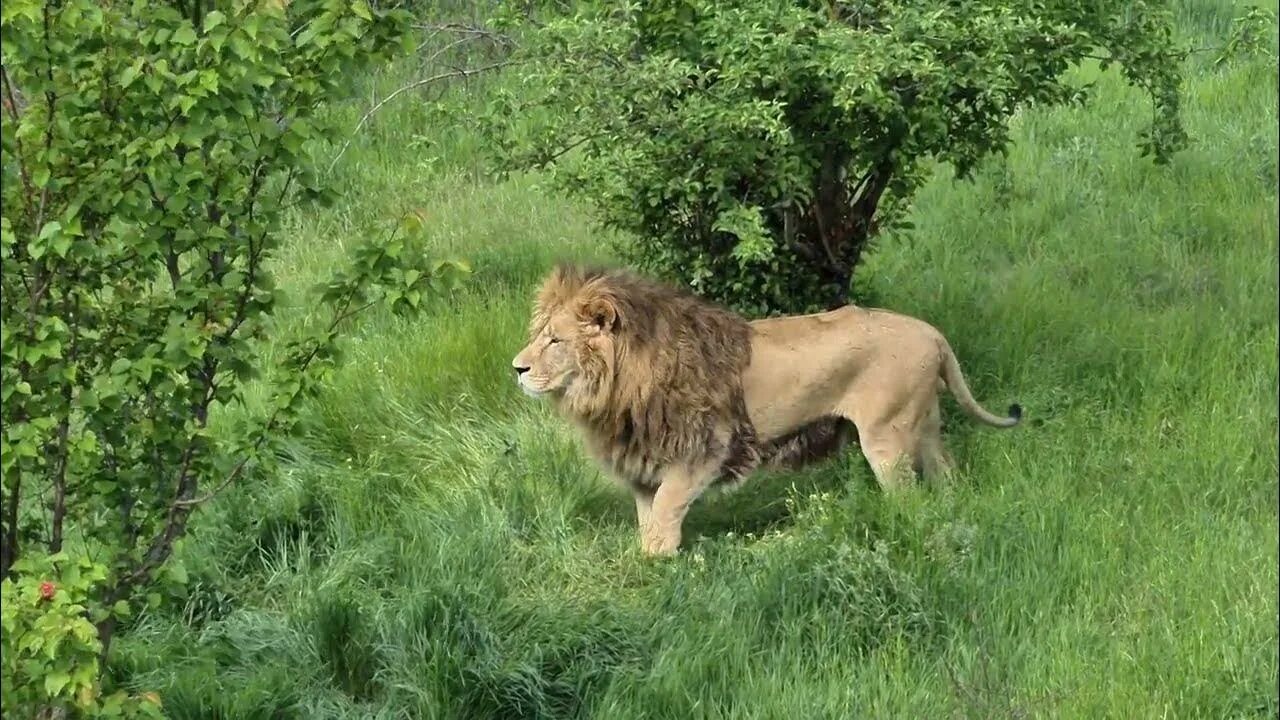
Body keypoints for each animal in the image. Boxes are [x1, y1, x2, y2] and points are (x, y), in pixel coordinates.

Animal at [509, 263, 1018, 556]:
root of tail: (933, 333)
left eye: (554, 341)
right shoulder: (643, 462)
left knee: (909, 498)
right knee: (946, 476)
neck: (615, 387)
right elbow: (647, 517)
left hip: (886, 437)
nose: (516, 368)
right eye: (539, 335)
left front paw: (658, 569)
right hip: (924, 425)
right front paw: (649, 562)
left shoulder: (704, 451)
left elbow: (665, 513)